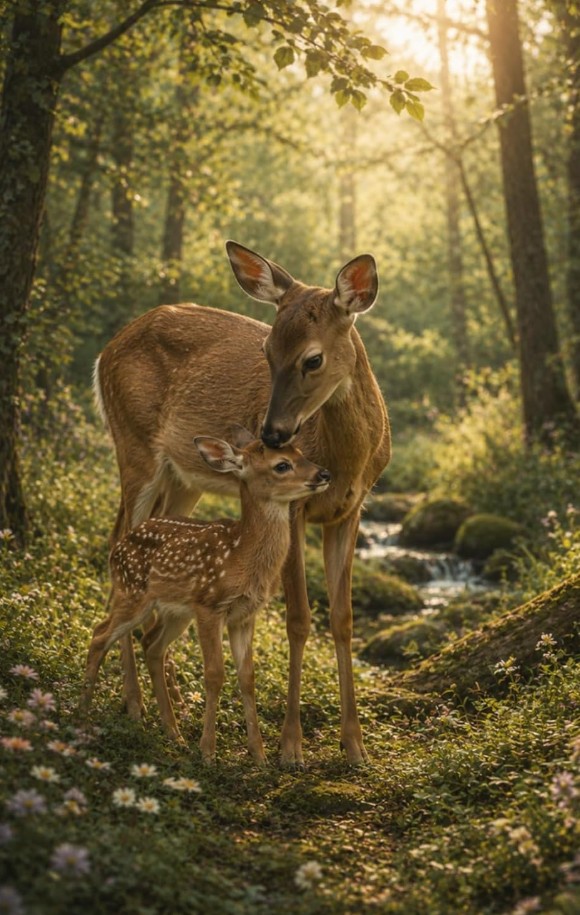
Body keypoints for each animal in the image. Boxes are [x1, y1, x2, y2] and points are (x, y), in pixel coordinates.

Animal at [80, 434, 331, 763]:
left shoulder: (244, 615)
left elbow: (247, 677)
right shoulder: (210, 605)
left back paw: (173, 733)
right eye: (282, 465)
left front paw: (258, 754)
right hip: (134, 592)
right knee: (100, 635)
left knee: (150, 645)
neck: (241, 556)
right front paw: (208, 751)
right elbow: (214, 674)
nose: (324, 474)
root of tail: (117, 549)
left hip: (176, 612)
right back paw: (84, 712)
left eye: (300, 452)